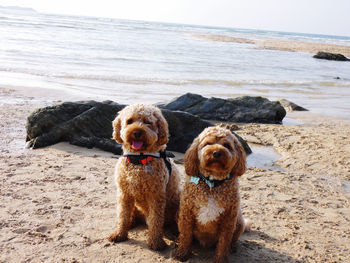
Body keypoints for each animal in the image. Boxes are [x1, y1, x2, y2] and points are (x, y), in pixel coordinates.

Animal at [108, 103, 180, 252]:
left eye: (148, 122)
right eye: (129, 121)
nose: (137, 132)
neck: (139, 159)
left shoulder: (156, 196)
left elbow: (155, 220)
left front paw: (156, 242)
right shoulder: (124, 194)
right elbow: (122, 215)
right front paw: (120, 233)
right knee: (131, 215)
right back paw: (131, 222)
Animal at [173, 127, 250, 262]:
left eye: (227, 145)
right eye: (207, 143)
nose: (216, 153)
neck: (212, 184)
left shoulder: (228, 219)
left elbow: (224, 243)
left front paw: (221, 259)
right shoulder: (186, 213)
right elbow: (186, 235)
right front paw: (182, 253)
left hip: (239, 222)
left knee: (233, 239)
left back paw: (233, 247)